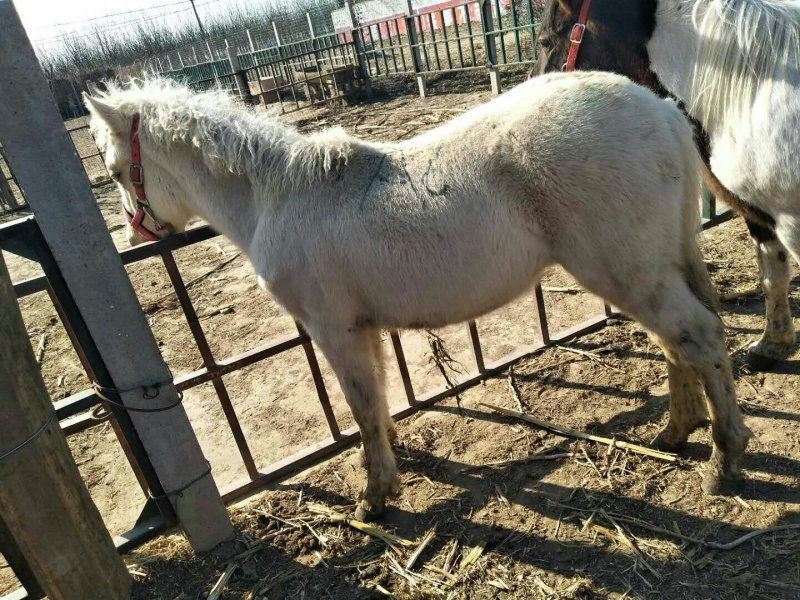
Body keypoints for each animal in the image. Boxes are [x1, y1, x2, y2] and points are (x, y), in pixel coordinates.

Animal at [84, 74, 750, 520]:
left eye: (115, 171)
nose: (135, 235)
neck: (279, 196)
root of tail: (660, 110)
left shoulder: (334, 329)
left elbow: (359, 406)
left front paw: (375, 498)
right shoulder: (363, 328)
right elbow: (377, 399)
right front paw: (391, 471)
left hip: (628, 271)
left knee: (698, 337)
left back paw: (723, 462)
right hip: (655, 264)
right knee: (677, 342)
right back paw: (675, 433)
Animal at [535, 0, 800, 371]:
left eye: (545, 41)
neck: (756, 98)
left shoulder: (791, 221)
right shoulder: (760, 214)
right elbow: (772, 275)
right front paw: (771, 346)